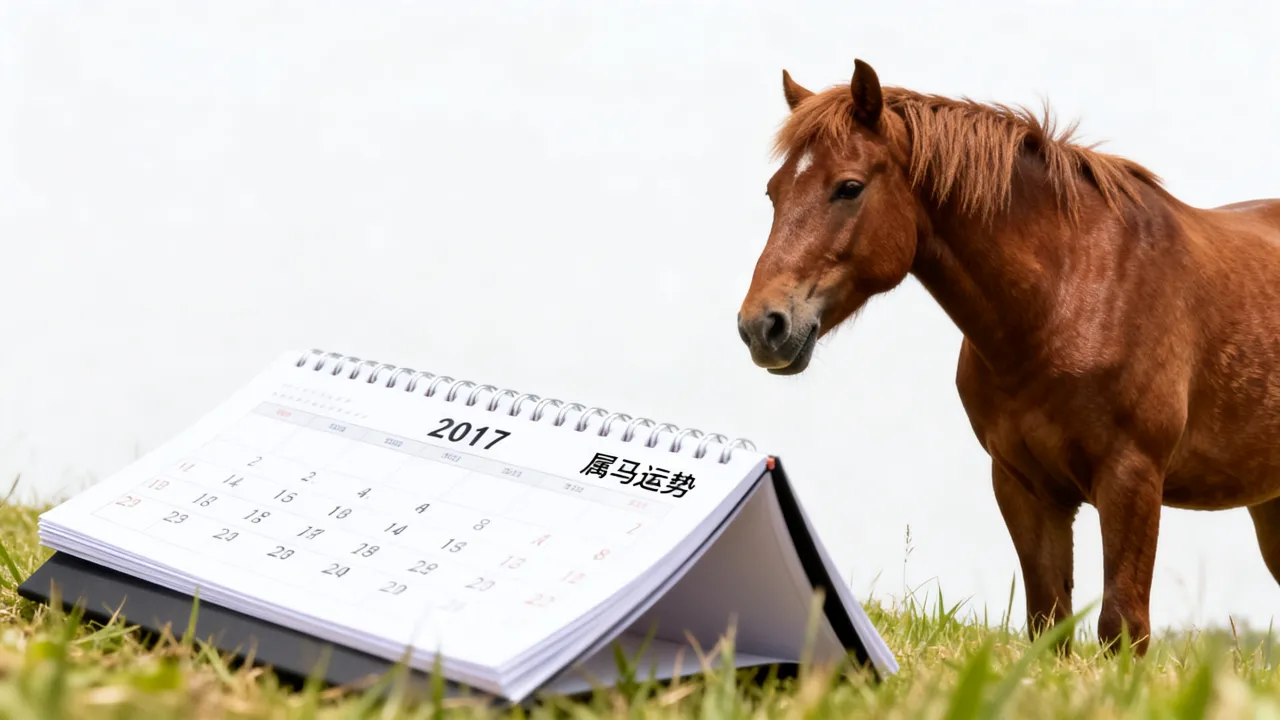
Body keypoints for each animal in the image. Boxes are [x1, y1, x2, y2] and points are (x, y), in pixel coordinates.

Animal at [736, 58, 1280, 656]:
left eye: (849, 187)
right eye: (773, 192)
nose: (761, 326)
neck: (1070, 297)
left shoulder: (1132, 478)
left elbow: (1121, 626)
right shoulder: (1023, 486)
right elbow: (1049, 624)